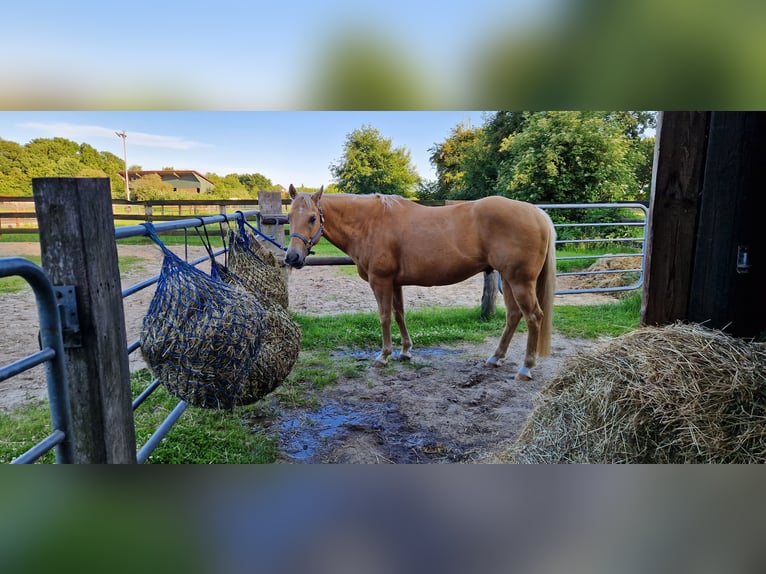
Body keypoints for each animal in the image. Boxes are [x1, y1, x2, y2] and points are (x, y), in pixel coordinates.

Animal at [284, 184, 557, 381]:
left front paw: (383, 355)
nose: (292, 257)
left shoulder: (380, 281)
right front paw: (405, 351)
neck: (370, 223)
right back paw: (495, 357)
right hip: (509, 280)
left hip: (520, 281)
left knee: (534, 317)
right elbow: (399, 314)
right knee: (514, 315)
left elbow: (384, 316)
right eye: (289, 218)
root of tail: (537, 213)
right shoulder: (395, 283)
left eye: (312, 218)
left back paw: (525, 368)